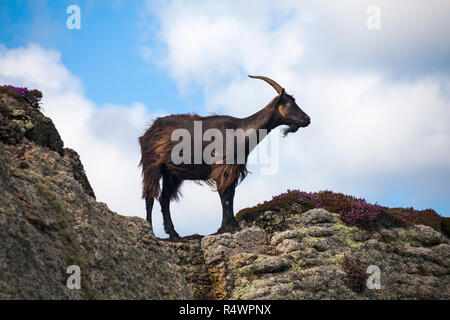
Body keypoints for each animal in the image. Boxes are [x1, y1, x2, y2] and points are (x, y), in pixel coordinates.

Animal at [139, 76, 312, 239]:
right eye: (289, 103)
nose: (307, 119)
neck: (241, 131)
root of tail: (148, 132)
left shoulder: (234, 170)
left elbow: (231, 195)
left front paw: (231, 226)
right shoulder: (223, 167)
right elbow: (225, 196)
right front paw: (229, 227)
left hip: (172, 174)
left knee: (164, 198)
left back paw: (173, 233)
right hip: (152, 165)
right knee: (149, 195)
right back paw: (150, 229)